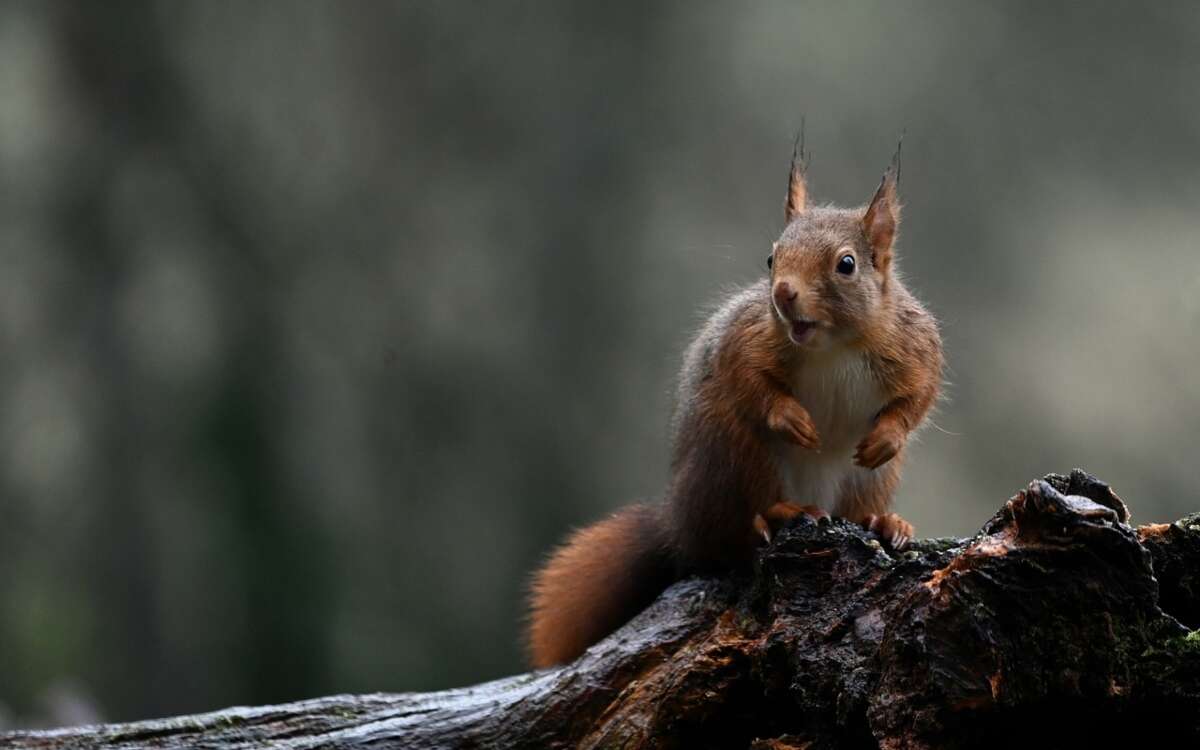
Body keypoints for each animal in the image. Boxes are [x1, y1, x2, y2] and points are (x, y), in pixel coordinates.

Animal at [530, 141, 940, 667]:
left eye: (846, 264)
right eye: (771, 258)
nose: (783, 293)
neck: (833, 346)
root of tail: (677, 525)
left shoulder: (915, 344)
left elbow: (919, 394)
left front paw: (887, 437)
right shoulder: (745, 339)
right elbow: (747, 379)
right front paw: (792, 418)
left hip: (865, 481)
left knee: (851, 509)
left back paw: (884, 522)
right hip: (735, 455)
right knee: (728, 540)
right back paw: (777, 516)